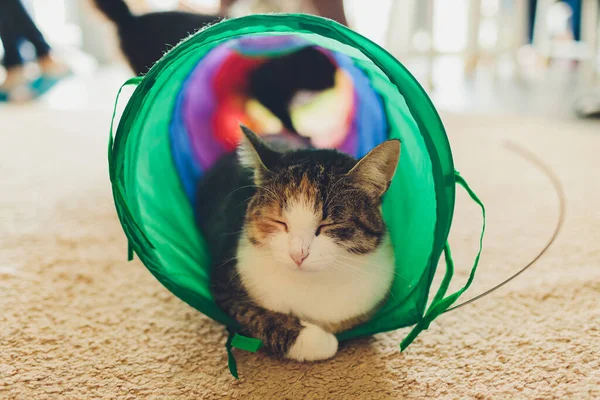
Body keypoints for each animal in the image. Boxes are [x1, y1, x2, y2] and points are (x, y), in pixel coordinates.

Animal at [197, 126, 400, 360]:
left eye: (328, 225)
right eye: (279, 222)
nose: (298, 254)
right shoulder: (224, 282)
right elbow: (254, 314)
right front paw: (315, 340)